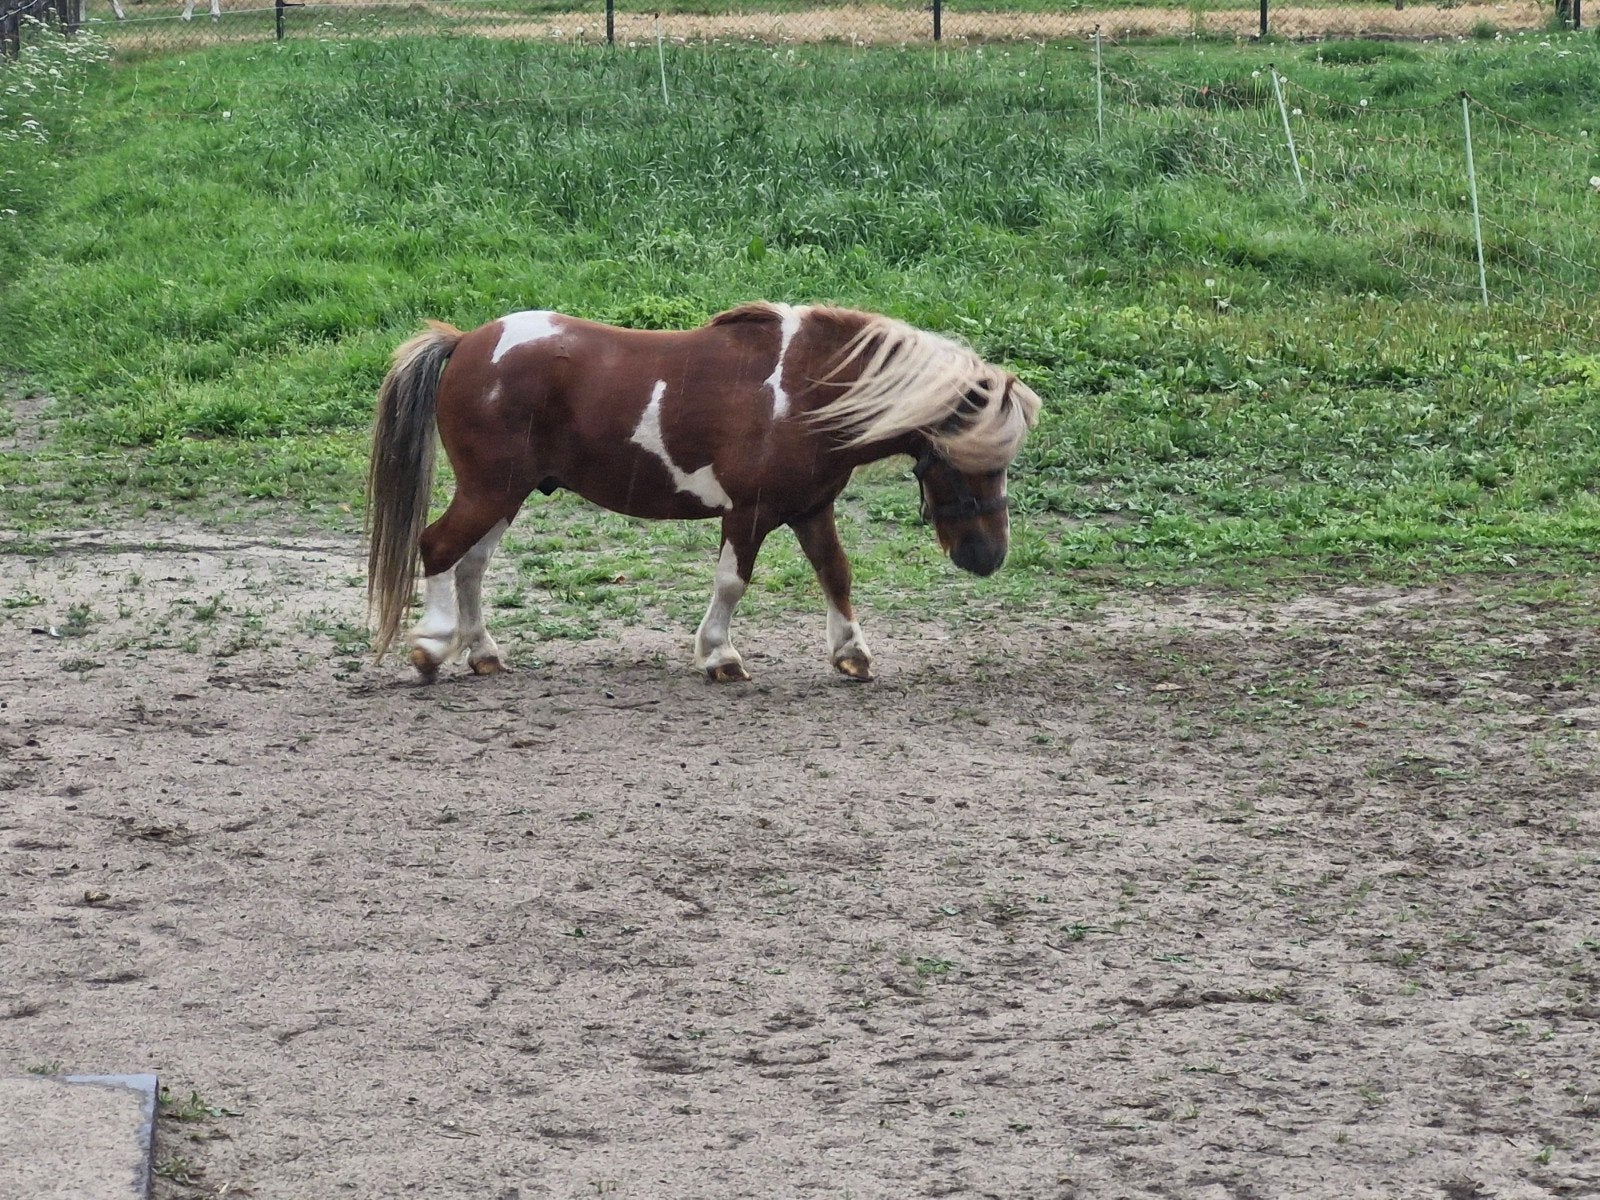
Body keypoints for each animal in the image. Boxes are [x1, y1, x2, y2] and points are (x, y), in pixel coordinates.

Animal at [366, 302, 1042, 683]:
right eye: (967, 462)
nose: (988, 558)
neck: (805, 393)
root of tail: (465, 343)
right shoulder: (750, 514)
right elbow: (732, 582)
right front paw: (720, 657)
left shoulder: (810, 510)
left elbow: (836, 573)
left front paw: (852, 654)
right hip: (491, 489)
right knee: (438, 547)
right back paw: (431, 648)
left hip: (509, 493)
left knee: (471, 564)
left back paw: (482, 653)